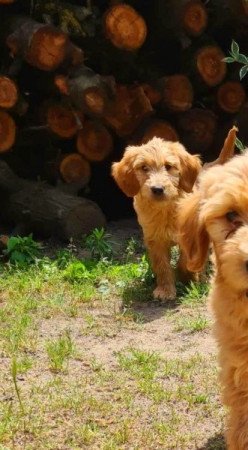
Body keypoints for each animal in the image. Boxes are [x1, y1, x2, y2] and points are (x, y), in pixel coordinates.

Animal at [111, 135, 201, 300]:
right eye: (144, 167)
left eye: (168, 166)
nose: (158, 189)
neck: (165, 210)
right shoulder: (155, 239)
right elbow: (162, 266)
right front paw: (165, 290)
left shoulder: (190, 235)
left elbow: (185, 261)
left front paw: (188, 279)